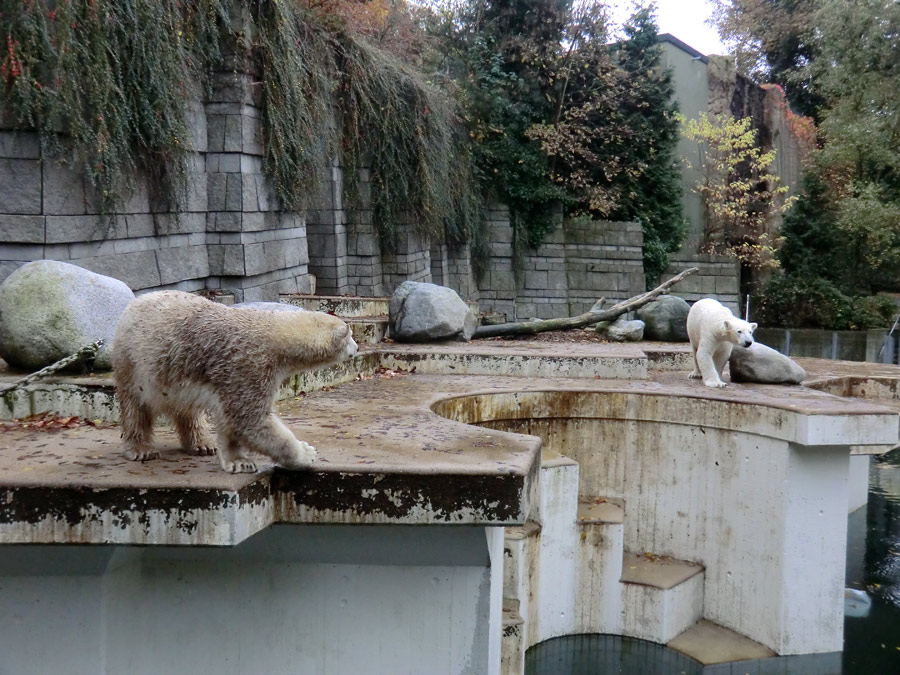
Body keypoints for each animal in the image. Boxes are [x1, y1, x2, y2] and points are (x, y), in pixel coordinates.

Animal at [109, 292, 356, 476]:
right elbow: (251, 420)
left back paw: (202, 444)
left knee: (187, 410)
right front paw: (307, 453)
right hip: (133, 362)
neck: (270, 332)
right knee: (135, 406)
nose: (357, 347)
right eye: (351, 336)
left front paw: (238, 461)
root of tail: (134, 302)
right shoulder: (248, 366)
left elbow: (231, 423)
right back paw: (141, 449)